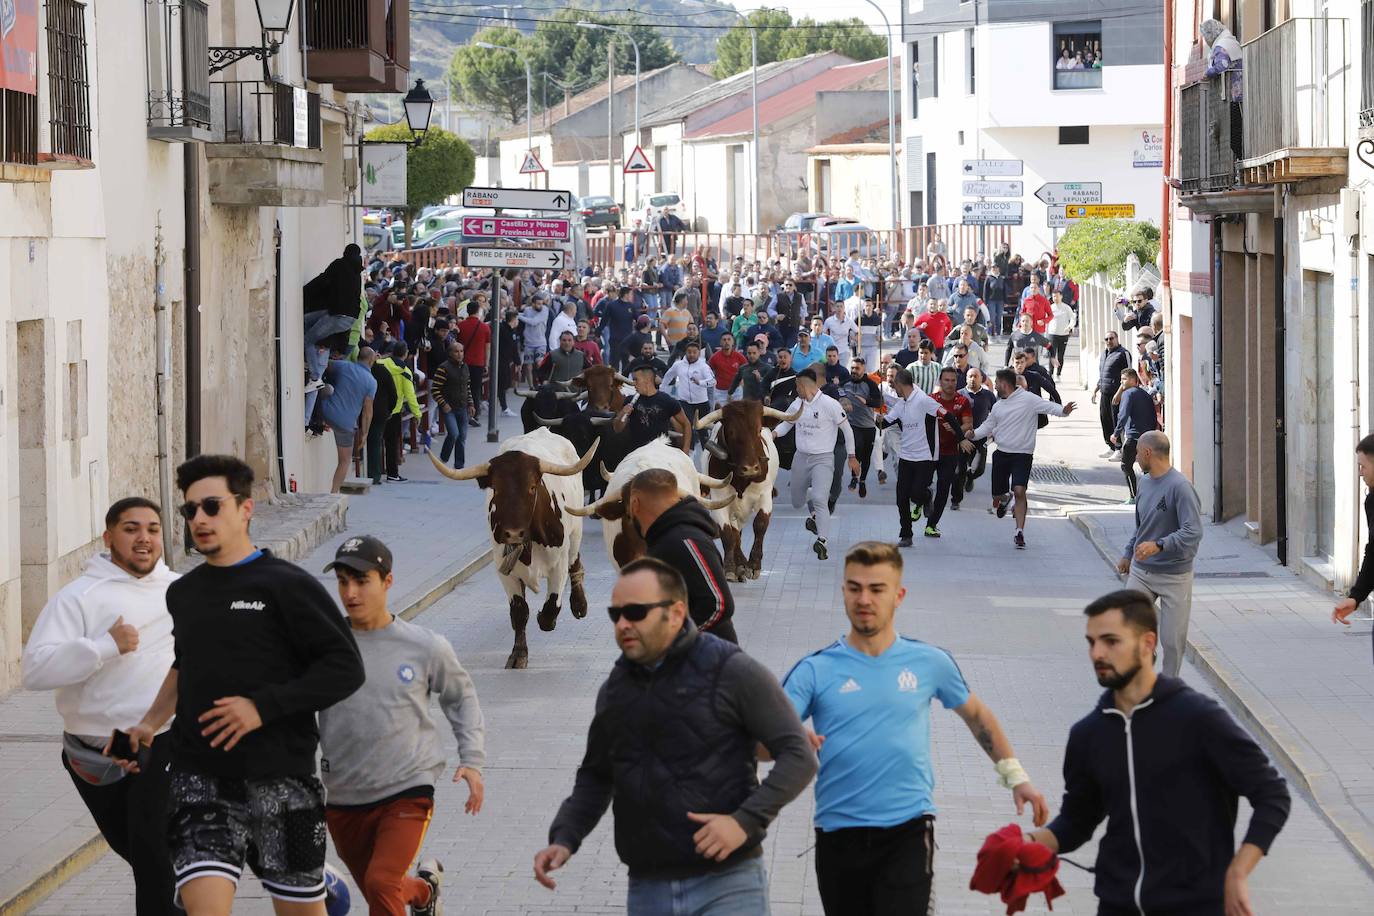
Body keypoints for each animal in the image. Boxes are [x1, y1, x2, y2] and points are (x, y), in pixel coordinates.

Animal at [697, 401, 796, 579]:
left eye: (758, 430)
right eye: (731, 432)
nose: (750, 468)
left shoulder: (765, 495)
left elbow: (760, 524)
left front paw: (754, 564)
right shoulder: (720, 500)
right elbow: (728, 533)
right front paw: (730, 567)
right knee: (736, 533)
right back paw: (740, 563)